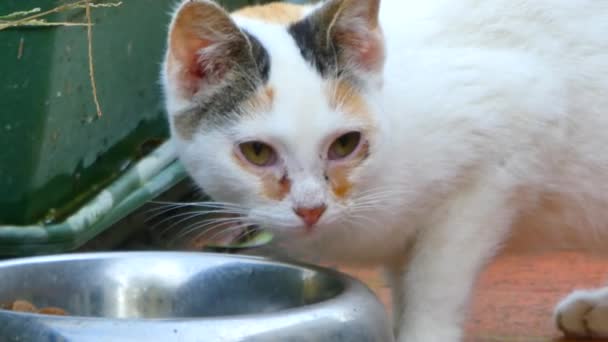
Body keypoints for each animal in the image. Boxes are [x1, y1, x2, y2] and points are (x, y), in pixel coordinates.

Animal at [162, 0, 608, 342]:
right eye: (257, 152)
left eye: (345, 144)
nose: (311, 209)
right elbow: (404, 285)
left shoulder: (502, 164)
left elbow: (434, 286)